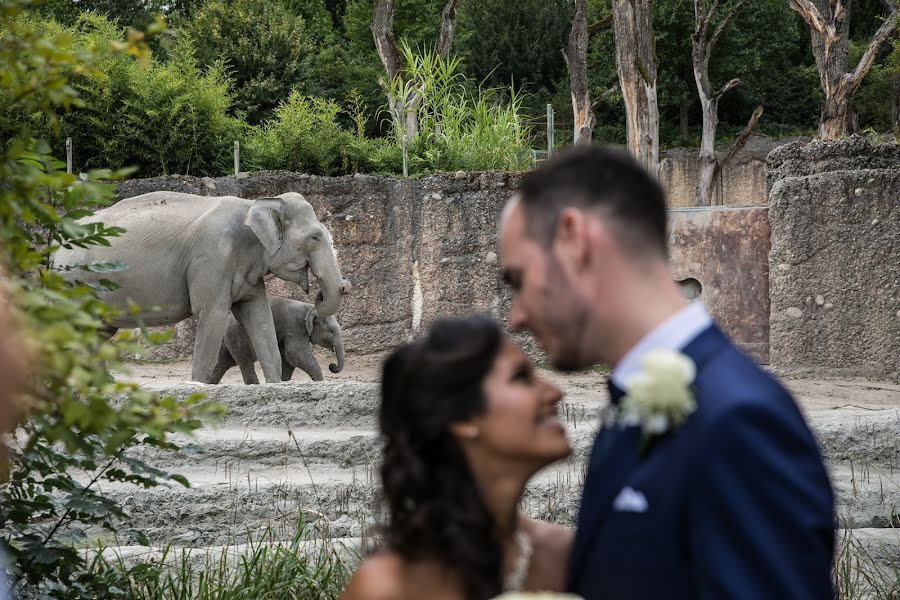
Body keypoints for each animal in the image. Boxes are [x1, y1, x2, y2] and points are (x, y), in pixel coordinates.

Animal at [211, 296, 344, 384]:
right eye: (331, 330)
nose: (332, 366)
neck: (309, 306)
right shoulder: (294, 327)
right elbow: (296, 354)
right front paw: (320, 382)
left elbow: (288, 359)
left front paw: (284, 382)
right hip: (236, 338)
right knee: (245, 363)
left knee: (221, 364)